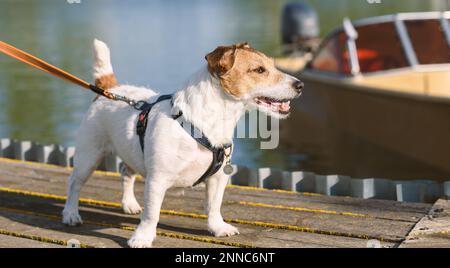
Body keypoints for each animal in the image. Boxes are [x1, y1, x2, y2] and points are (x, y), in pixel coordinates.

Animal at [61, 39, 302, 247]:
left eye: (273, 65)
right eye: (259, 70)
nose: (300, 85)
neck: (204, 123)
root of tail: (110, 89)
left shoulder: (218, 178)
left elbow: (214, 205)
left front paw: (218, 227)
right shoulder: (157, 180)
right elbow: (151, 214)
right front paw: (142, 238)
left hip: (130, 154)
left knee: (126, 174)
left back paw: (129, 204)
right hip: (89, 156)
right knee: (74, 184)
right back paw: (71, 214)